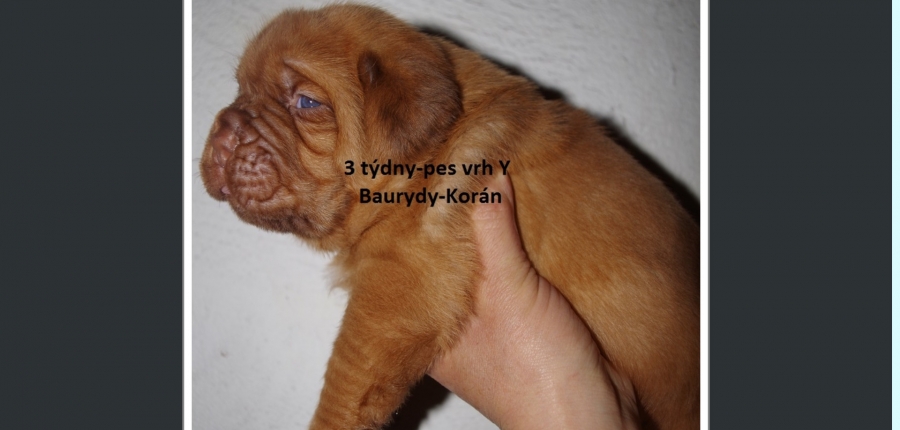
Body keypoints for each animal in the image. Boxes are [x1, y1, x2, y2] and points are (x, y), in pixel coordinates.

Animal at [199, 4, 699, 429]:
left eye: (305, 103)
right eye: (240, 89)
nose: (225, 126)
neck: (423, 162)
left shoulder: (399, 284)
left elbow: (344, 379)